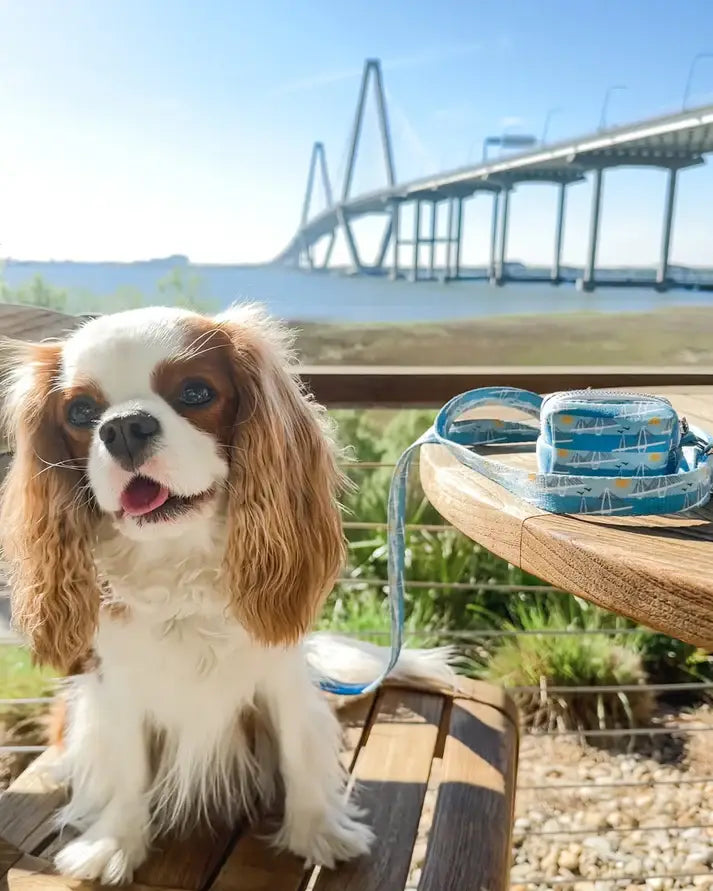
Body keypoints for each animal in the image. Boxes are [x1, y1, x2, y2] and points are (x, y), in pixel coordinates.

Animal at [0, 304, 454, 884]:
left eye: (196, 393)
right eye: (81, 412)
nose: (123, 427)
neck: (178, 562)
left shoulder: (283, 680)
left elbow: (298, 751)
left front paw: (316, 829)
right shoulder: (116, 689)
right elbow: (125, 765)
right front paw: (116, 840)